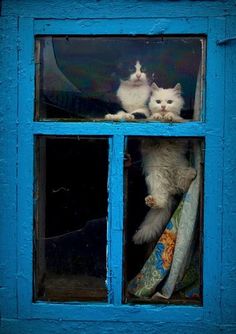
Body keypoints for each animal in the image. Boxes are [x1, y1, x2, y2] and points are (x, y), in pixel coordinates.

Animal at [133, 83, 197, 245]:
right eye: (158, 101)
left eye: (169, 102)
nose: (162, 107)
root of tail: (171, 187)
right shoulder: (147, 143)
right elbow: (153, 123)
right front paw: (157, 116)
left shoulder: (180, 139)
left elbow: (175, 118)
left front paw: (168, 116)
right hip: (156, 179)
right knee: (161, 200)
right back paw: (152, 200)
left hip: (180, 171)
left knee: (184, 184)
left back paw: (192, 173)